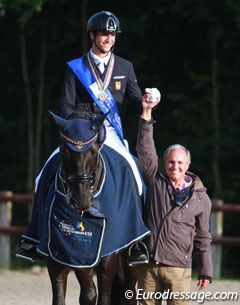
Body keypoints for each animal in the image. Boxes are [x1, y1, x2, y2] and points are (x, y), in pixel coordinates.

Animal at [16, 111, 149, 304]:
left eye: (94, 151)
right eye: (64, 151)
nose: (81, 199)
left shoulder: (107, 255)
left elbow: (103, 296)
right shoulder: (62, 253)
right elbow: (77, 295)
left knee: (128, 291)